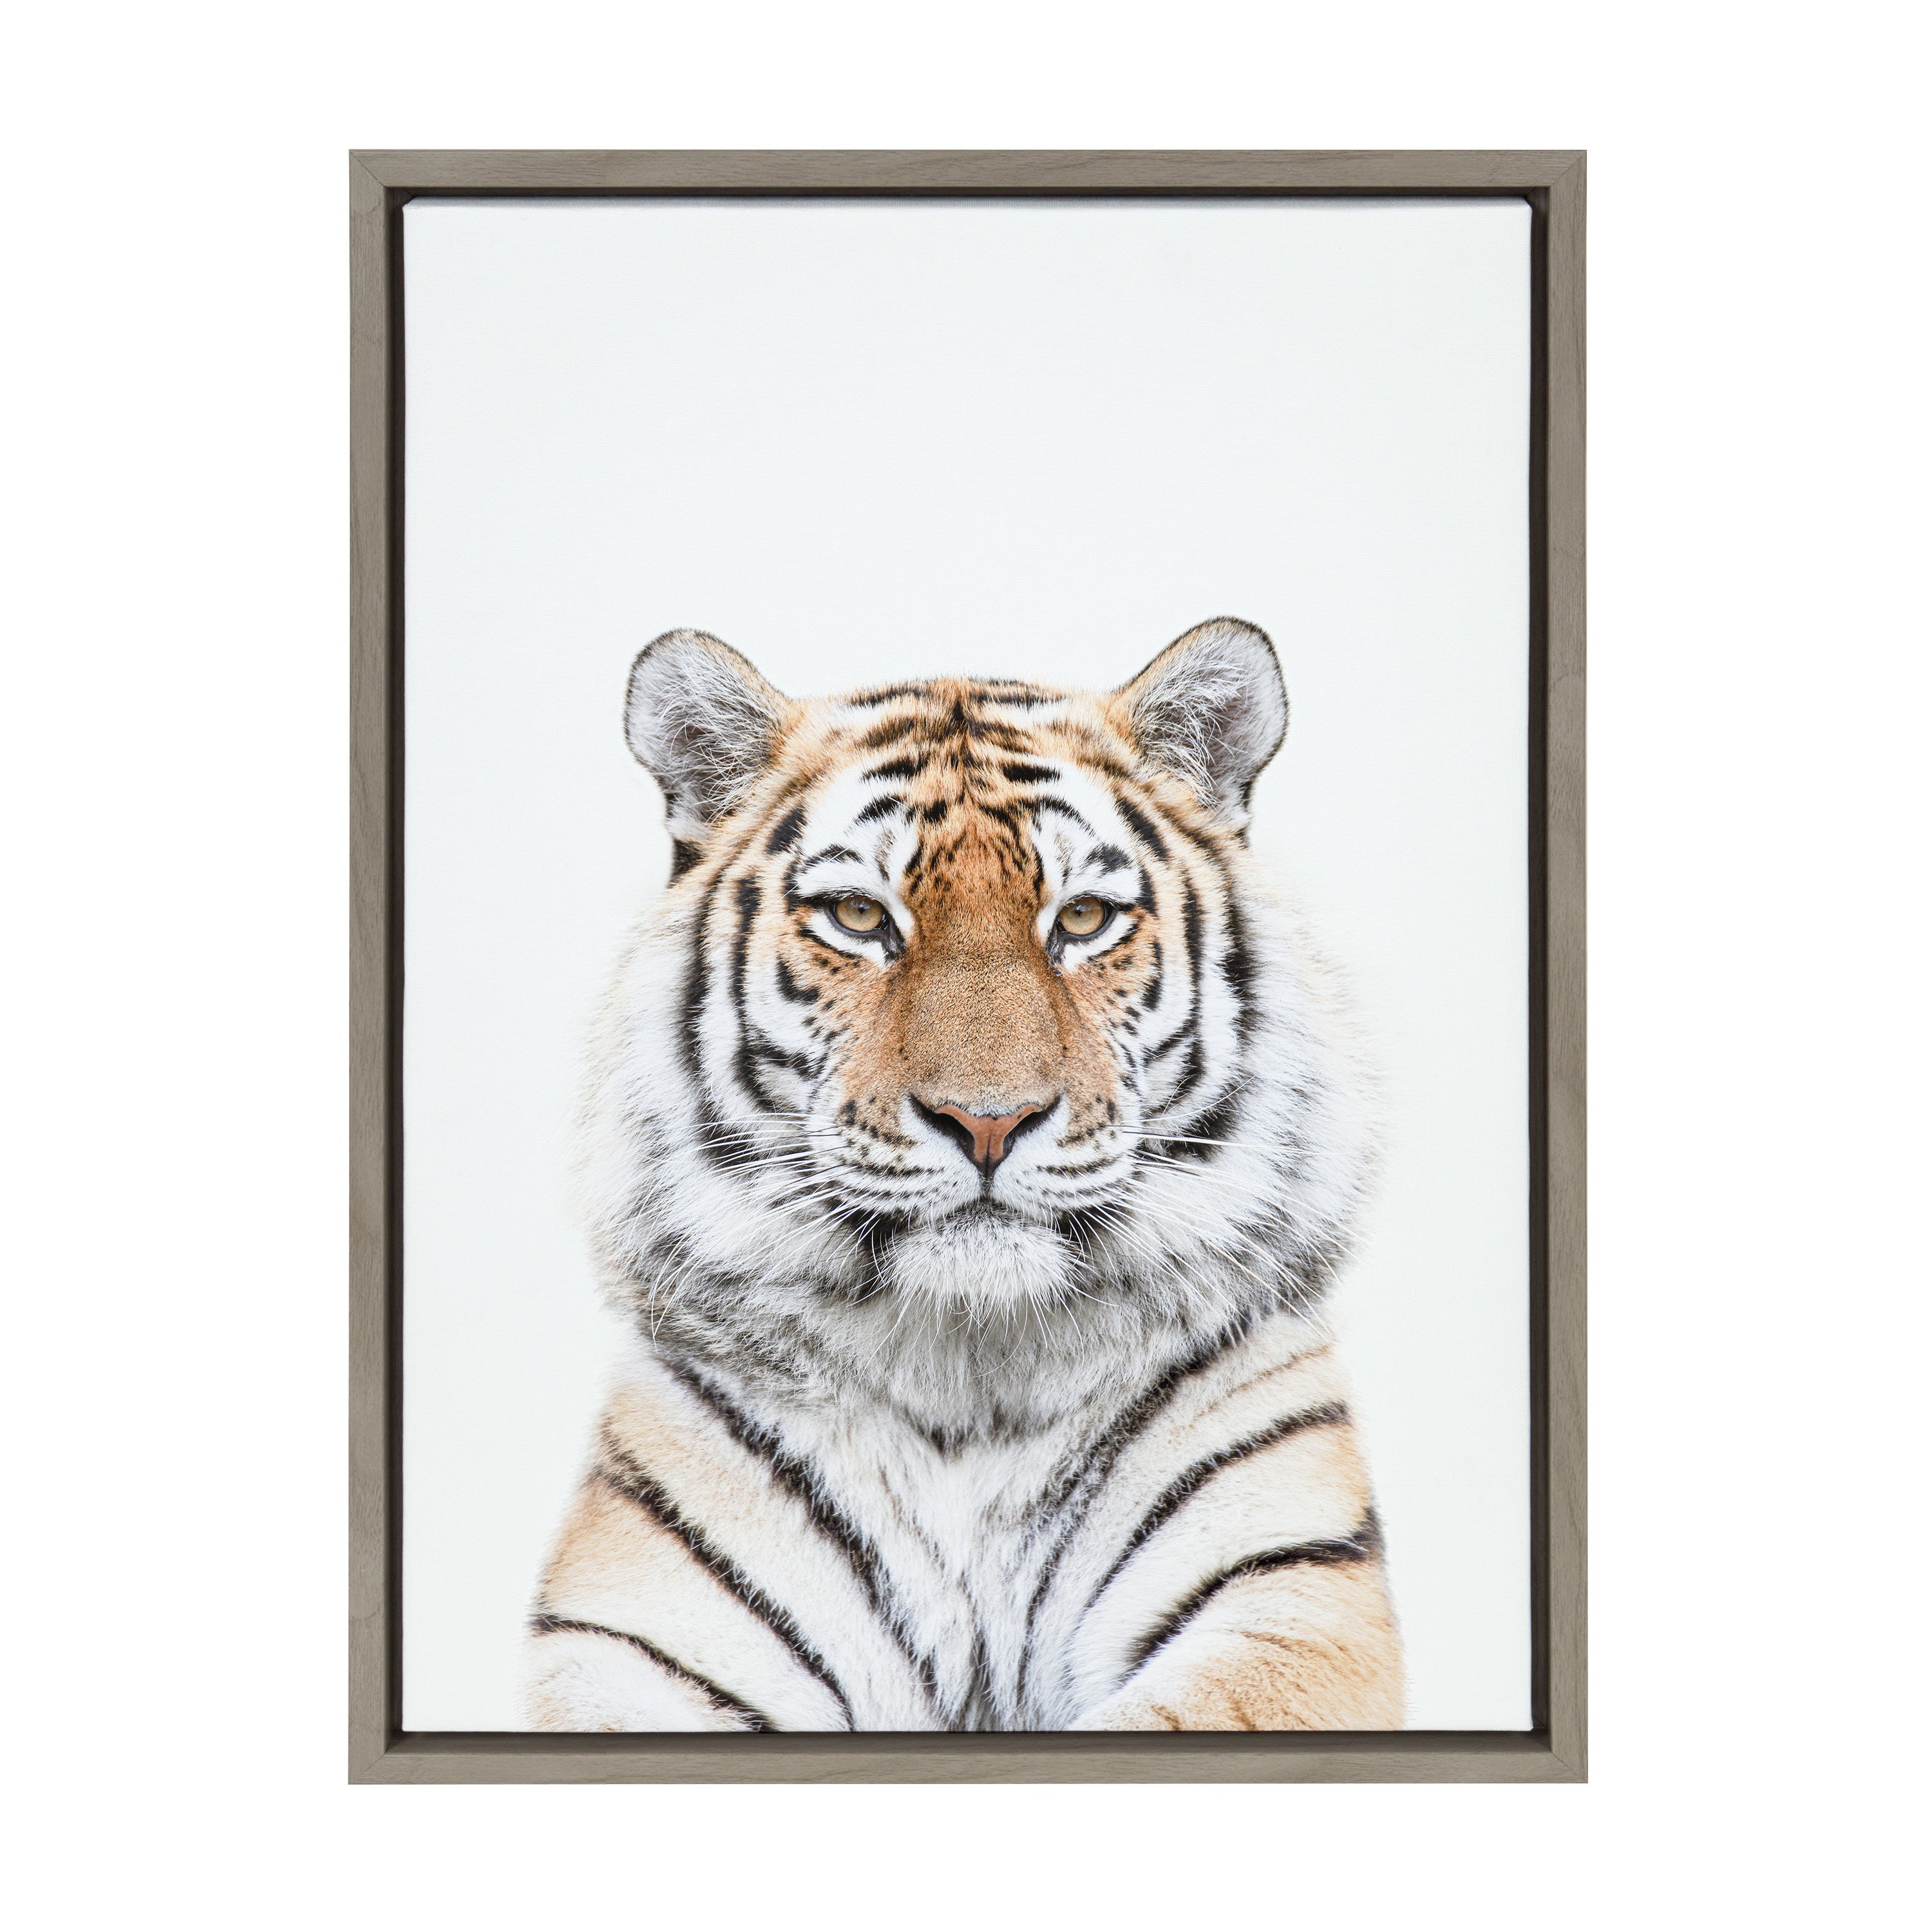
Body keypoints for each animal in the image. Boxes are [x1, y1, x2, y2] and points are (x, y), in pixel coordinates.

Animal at [524, 617, 1404, 1732]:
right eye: (859, 918)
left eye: (1084, 920)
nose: (989, 1122)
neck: (971, 1384)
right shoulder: (635, 1641)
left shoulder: (1289, 1602)